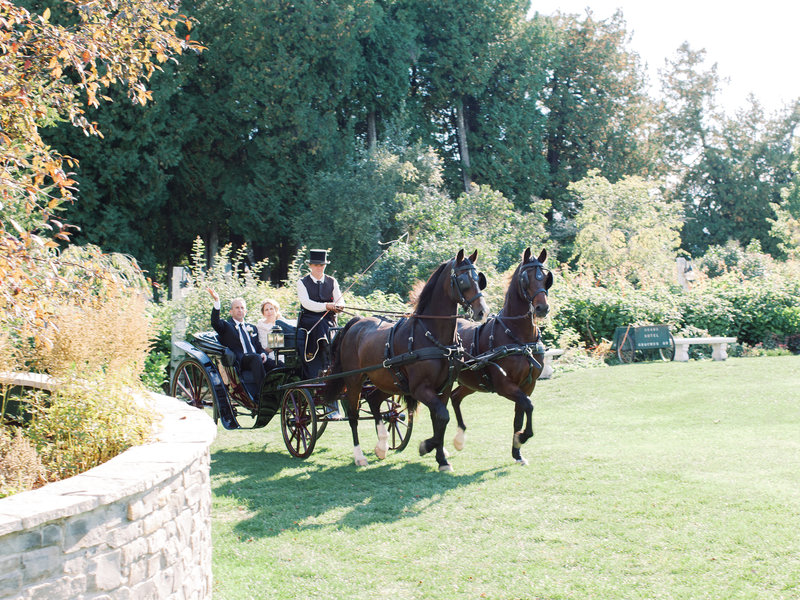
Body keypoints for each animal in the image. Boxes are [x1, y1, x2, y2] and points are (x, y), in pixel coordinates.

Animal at [324, 251, 488, 472]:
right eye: (462, 280)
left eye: (479, 279)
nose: (482, 311)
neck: (431, 336)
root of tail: (356, 322)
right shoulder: (420, 388)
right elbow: (442, 416)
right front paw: (427, 446)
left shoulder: (444, 388)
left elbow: (440, 420)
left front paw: (441, 457)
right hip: (354, 381)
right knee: (353, 414)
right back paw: (360, 455)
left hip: (389, 381)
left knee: (375, 402)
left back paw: (382, 445)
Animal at [450, 246, 552, 466]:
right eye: (526, 278)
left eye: (546, 278)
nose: (542, 308)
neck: (519, 337)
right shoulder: (504, 385)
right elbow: (529, 406)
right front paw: (523, 437)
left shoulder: (528, 386)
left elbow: (519, 416)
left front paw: (517, 452)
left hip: (471, 382)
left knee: (454, 397)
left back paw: (460, 436)